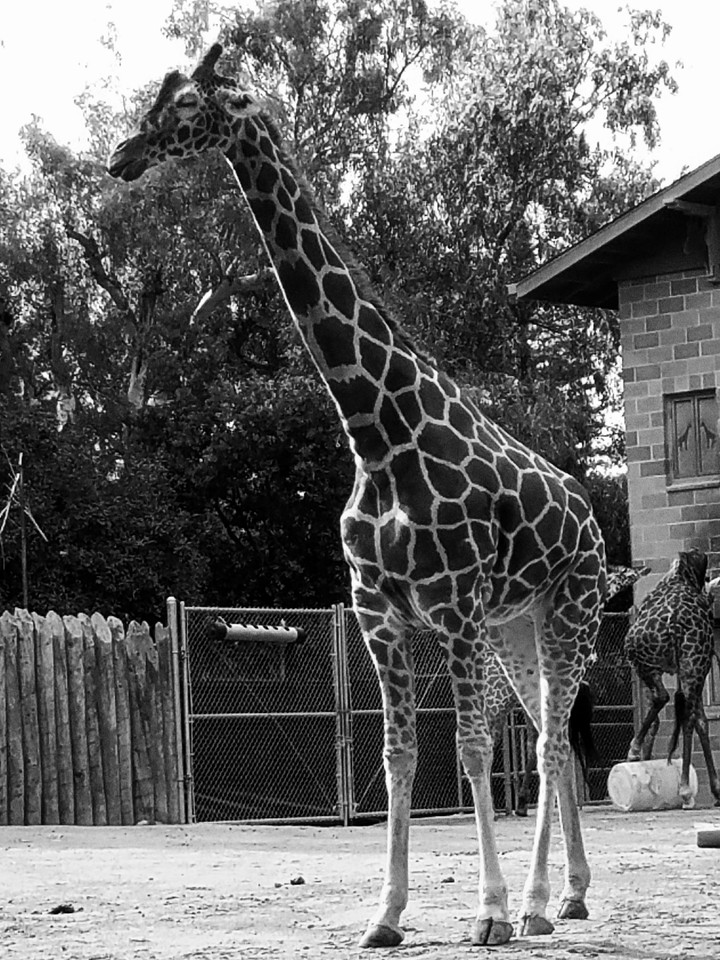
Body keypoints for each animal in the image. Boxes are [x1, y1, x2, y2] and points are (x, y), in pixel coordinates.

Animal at [108, 44, 607, 947]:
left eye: (188, 104)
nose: (121, 156)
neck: (377, 431)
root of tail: (589, 516)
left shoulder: (454, 605)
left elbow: (472, 749)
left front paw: (485, 911)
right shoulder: (379, 610)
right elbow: (398, 755)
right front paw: (386, 914)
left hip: (571, 608)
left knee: (552, 742)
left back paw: (533, 902)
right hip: (520, 627)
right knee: (555, 739)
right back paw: (568, 897)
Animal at [625, 549, 720, 807]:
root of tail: (676, 621)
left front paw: (637, 752)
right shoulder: (694, 668)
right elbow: (701, 721)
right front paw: (716, 790)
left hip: (642, 657)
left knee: (663, 697)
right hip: (694, 665)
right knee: (689, 717)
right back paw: (686, 788)